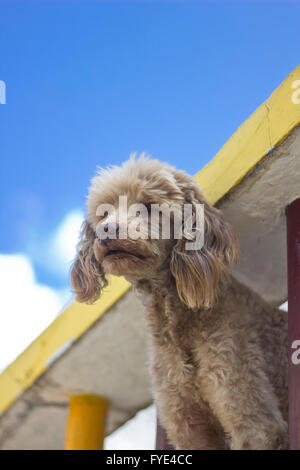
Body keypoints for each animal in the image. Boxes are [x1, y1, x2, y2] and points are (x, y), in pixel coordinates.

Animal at [70, 155, 288, 452]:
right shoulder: (187, 425)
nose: (106, 229)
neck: (177, 326)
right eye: (103, 213)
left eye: (150, 206)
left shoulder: (253, 418)